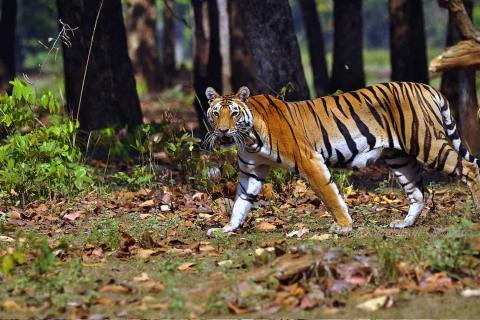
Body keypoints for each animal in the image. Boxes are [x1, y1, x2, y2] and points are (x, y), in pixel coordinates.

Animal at [203, 82, 480, 235]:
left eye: (234, 114)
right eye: (216, 113)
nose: (223, 131)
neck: (249, 139)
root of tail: (425, 86)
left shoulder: (309, 160)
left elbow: (330, 196)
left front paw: (344, 226)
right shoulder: (251, 171)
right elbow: (240, 203)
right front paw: (227, 229)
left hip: (427, 143)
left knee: (469, 168)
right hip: (399, 157)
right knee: (418, 193)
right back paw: (404, 224)